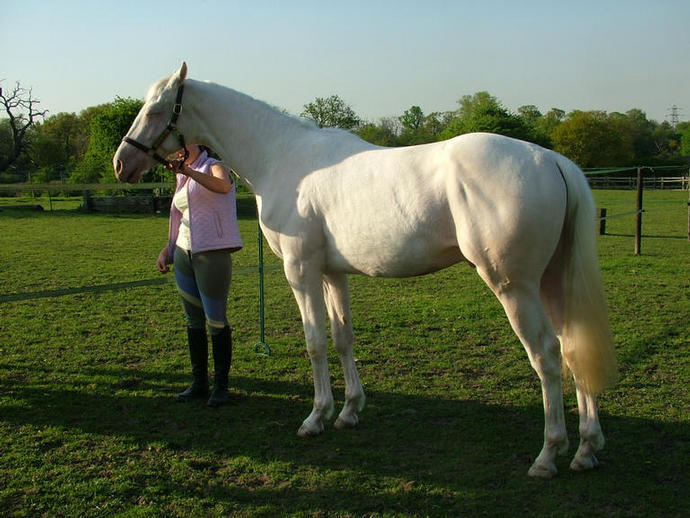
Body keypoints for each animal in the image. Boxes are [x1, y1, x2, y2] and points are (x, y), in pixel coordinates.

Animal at [114, 65, 620, 480]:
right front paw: (349, 412)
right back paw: (587, 448)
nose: (122, 163)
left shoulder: (300, 271)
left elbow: (315, 343)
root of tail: (551, 159)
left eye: (156, 109)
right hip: (551, 283)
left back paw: (549, 454)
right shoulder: (331, 274)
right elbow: (343, 338)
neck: (283, 157)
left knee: (548, 356)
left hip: (514, 287)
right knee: (574, 348)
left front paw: (316, 418)